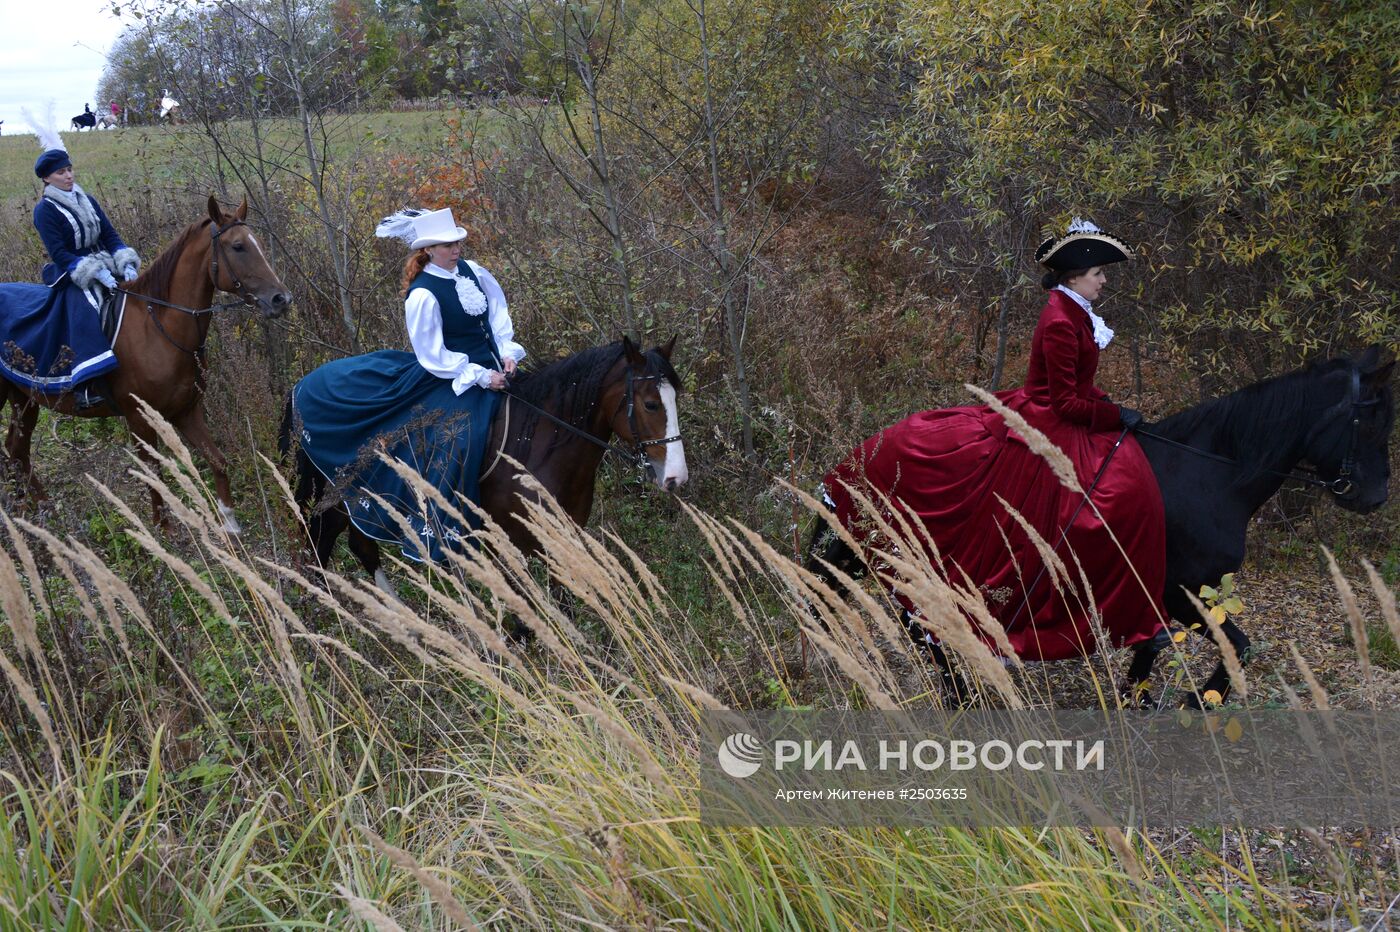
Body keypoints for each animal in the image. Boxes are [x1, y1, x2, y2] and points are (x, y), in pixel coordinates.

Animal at [0, 195, 292, 528]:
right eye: (238, 246)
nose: (281, 299)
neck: (160, 329)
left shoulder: (186, 411)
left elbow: (218, 461)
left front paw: (229, 524)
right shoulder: (139, 419)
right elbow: (155, 476)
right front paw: (164, 531)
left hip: (24, 399)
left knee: (17, 450)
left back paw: (42, 509)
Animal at [806, 348, 1394, 705]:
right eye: (1370, 422)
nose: (1376, 497)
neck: (1209, 474)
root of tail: (864, 453)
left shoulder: (1162, 594)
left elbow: (1161, 648)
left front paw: (1147, 695)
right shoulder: (1183, 592)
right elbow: (1233, 646)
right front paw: (1196, 699)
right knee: (912, 619)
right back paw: (958, 688)